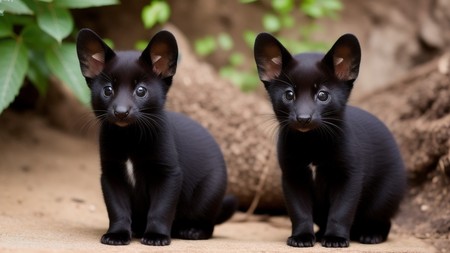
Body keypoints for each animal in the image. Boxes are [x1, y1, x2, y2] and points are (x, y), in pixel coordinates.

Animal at [75, 28, 237, 246]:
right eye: (108, 90)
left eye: (141, 90)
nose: (121, 112)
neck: (130, 139)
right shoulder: (111, 174)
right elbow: (117, 209)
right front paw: (117, 234)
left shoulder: (167, 174)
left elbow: (161, 209)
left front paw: (156, 236)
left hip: (208, 195)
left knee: (208, 223)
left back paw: (192, 231)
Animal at [255, 33, 406, 247]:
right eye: (289, 94)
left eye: (323, 95)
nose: (303, 118)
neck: (312, 144)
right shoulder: (293, 176)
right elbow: (300, 212)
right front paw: (301, 237)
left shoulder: (348, 177)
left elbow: (341, 212)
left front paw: (335, 238)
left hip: (382, 201)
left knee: (384, 222)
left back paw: (370, 235)